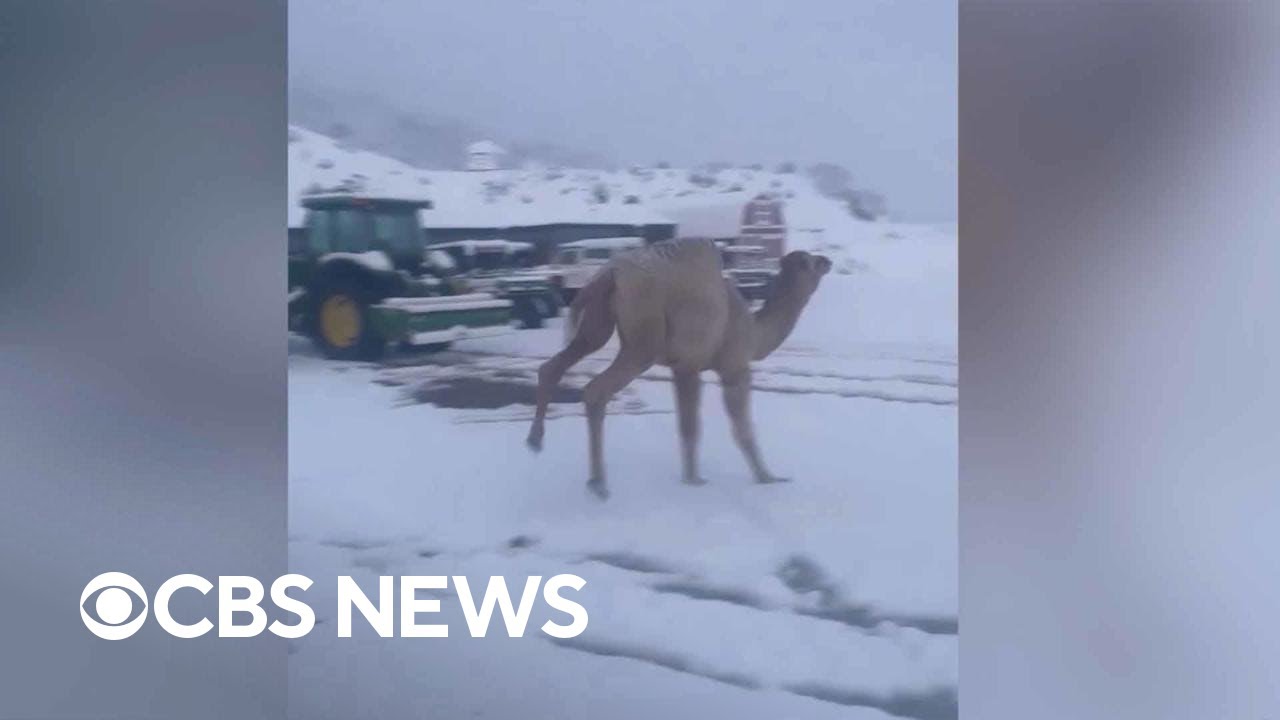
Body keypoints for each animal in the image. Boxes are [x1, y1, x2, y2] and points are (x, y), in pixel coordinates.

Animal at [526, 238, 831, 499]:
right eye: (811, 262)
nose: (827, 260)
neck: (755, 333)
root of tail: (610, 273)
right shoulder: (733, 367)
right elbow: (739, 428)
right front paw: (768, 478)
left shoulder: (684, 368)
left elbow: (687, 425)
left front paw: (691, 479)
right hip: (643, 342)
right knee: (595, 391)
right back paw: (598, 483)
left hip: (598, 324)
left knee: (554, 365)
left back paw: (535, 442)